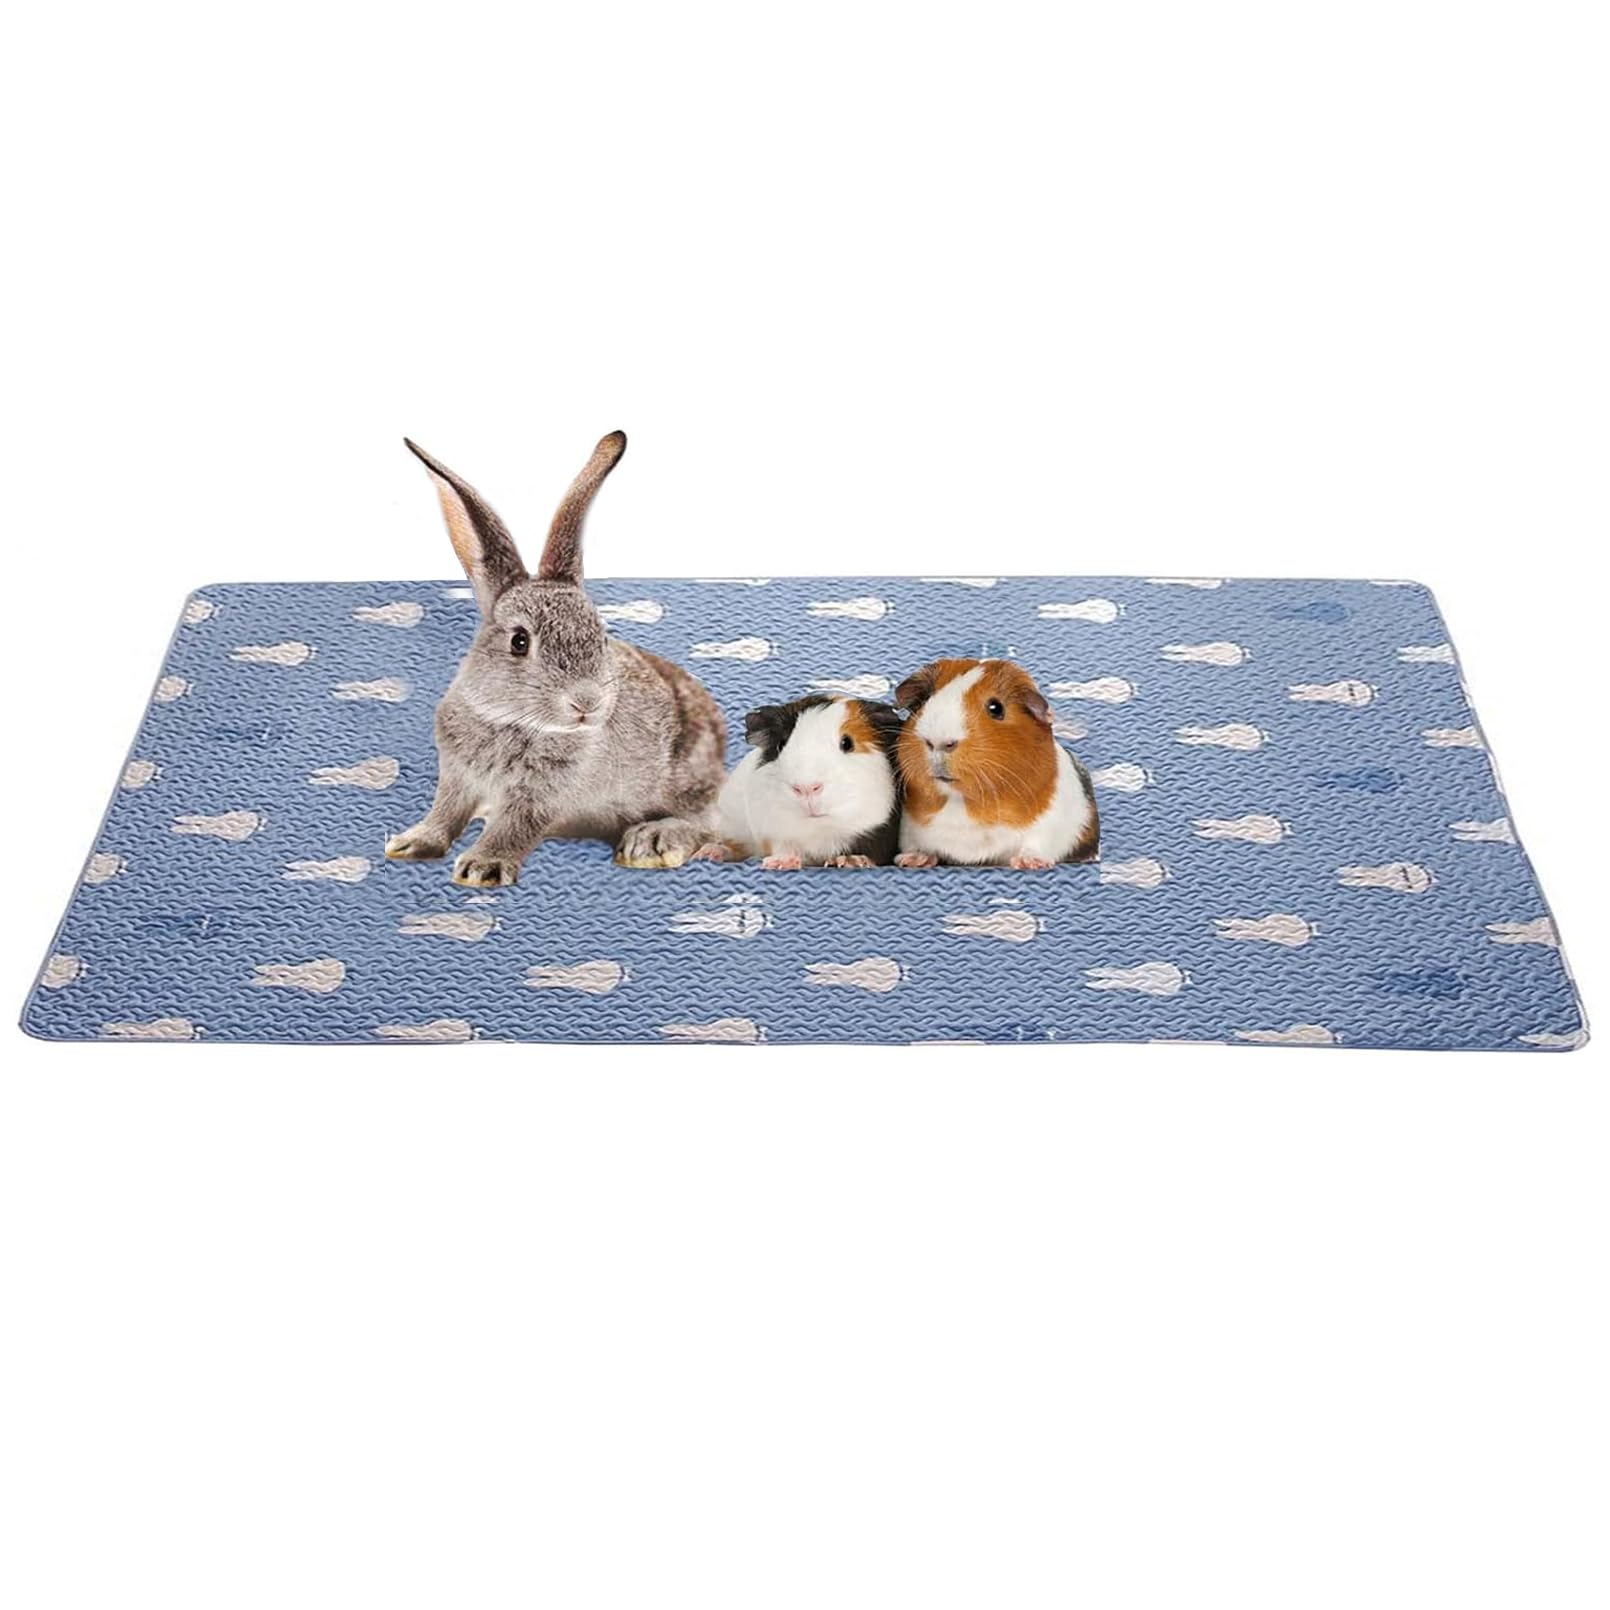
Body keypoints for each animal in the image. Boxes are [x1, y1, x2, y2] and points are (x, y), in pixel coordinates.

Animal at [384, 432, 727, 886]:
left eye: (601, 636)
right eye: (519, 642)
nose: (587, 702)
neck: (512, 720)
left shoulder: (541, 794)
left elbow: (515, 826)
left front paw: (482, 867)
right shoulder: (457, 777)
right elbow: (445, 813)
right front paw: (411, 844)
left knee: (712, 823)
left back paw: (652, 842)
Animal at [693, 696, 904, 869]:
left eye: (847, 743)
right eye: (781, 745)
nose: (806, 787)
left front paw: (851, 861)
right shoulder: (773, 831)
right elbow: (784, 847)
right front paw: (779, 863)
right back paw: (707, 853)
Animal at [892, 657, 1099, 868]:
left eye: (996, 708)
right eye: (923, 701)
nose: (938, 742)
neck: (962, 802)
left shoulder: (1050, 824)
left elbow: (1035, 844)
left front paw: (1029, 863)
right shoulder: (909, 828)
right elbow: (916, 845)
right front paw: (911, 860)